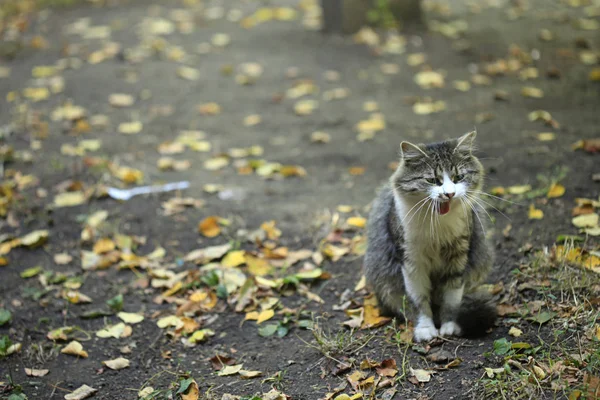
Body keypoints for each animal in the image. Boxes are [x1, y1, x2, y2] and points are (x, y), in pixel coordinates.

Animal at [366, 130, 496, 340]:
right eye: (432, 180)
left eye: (458, 177)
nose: (449, 194)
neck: (437, 224)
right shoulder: (412, 263)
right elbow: (419, 301)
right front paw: (425, 328)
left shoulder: (458, 257)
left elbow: (451, 299)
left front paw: (449, 325)